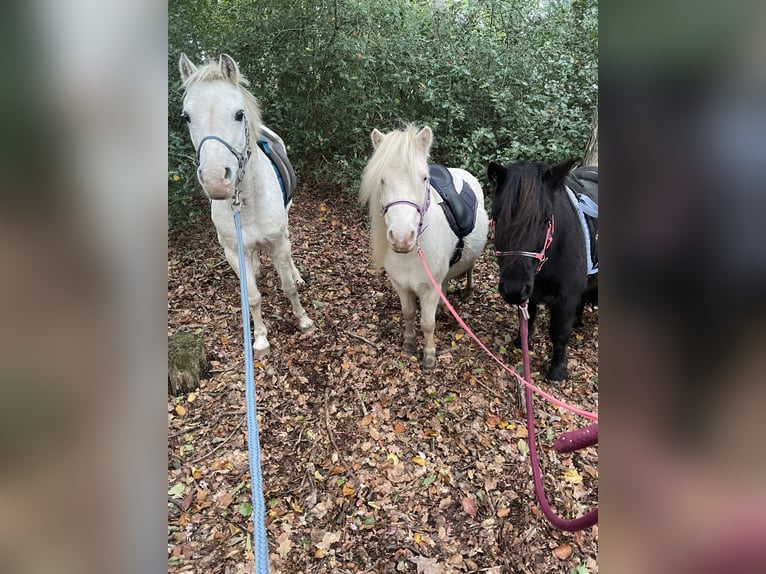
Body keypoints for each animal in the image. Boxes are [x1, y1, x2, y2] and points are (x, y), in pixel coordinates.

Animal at [178, 55, 314, 360]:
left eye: (239, 114)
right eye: (187, 116)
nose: (216, 180)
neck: (248, 202)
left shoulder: (277, 243)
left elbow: (288, 287)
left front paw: (302, 320)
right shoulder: (232, 252)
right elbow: (251, 297)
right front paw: (261, 338)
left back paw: (295, 273)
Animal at [362, 125, 492, 368]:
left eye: (424, 178)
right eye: (382, 180)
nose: (402, 237)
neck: (410, 255)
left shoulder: (429, 289)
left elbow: (427, 323)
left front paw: (429, 355)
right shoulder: (401, 286)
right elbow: (409, 314)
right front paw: (409, 344)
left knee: (470, 268)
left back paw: (468, 291)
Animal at [492, 160, 600, 382]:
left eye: (545, 219)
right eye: (496, 217)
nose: (513, 289)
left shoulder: (566, 299)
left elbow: (559, 333)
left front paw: (558, 369)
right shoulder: (529, 292)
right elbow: (529, 318)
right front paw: (522, 342)